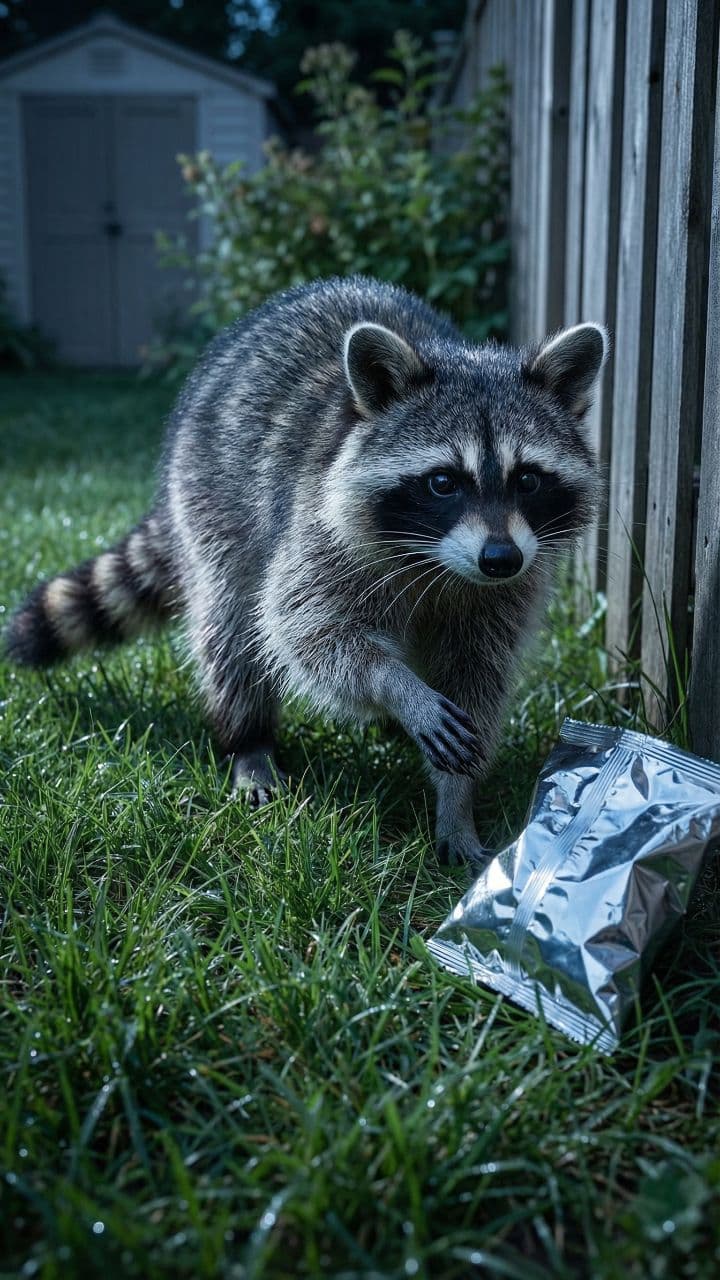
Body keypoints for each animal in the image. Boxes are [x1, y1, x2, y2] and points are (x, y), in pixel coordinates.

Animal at [5, 276, 607, 866]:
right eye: (443, 482)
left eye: (527, 480)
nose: (500, 559)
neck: (437, 560)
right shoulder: (319, 532)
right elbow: (306, 630)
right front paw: (397, 689)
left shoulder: (507, 591)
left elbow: (477, 676)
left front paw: (456, 800)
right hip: (211, 504)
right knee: (233, 630)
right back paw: (249, 741)